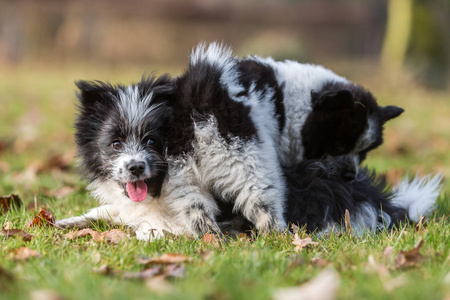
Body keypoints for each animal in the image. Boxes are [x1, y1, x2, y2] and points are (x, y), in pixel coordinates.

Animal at [56, 42, 442, 239]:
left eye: (365, 153)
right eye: (337, 146)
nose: (349, 175)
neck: (287, 100)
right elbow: (115, 212)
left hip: (229, 167)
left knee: (234, 215)